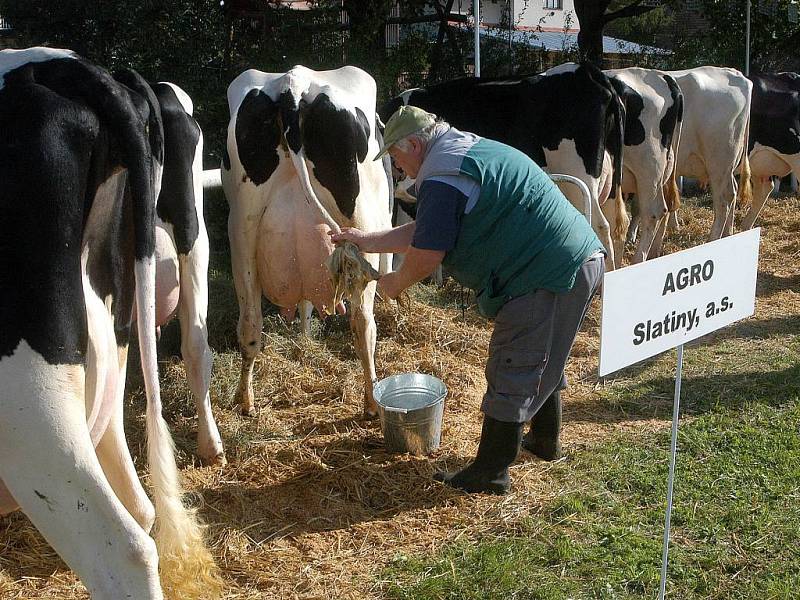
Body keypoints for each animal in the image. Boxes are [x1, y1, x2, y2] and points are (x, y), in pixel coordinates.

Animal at [220, 63, 392, 414]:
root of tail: (293, 83)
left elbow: (304, 305)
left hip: (242, 233)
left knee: (250, 322)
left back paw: (246, 401)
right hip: (361, 232)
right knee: (362, 323)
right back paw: (371, 402)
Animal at [608, 67, 680, 262]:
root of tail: (666, 77)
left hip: (648, 170)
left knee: (653, 212)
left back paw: (637, 259)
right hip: (661, 172)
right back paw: (653, 253)